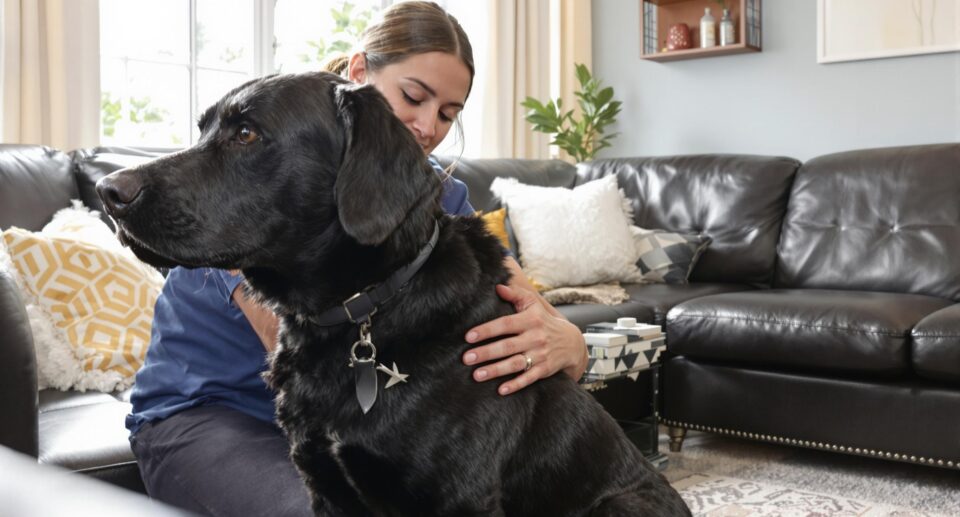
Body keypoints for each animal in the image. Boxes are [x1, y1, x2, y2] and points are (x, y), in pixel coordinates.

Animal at [97, 70, 688, 512]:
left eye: (246, 133)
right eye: (202, 130)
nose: (108, 190)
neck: (366, 309)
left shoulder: (458, 500)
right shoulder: (324, 486)